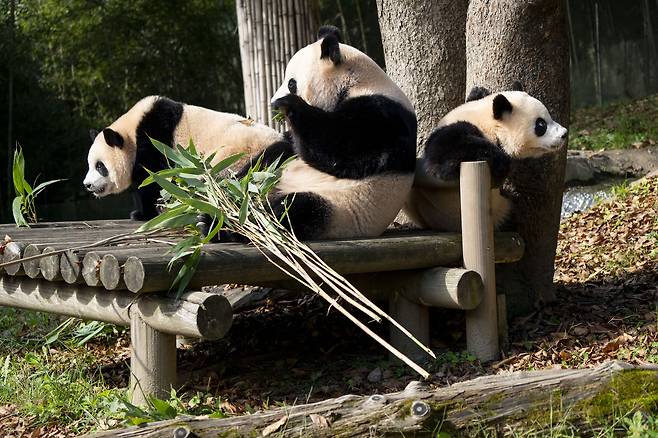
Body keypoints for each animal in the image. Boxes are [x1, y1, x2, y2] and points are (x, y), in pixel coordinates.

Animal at [82, 95, 288, 219]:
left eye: (100, 166)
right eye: (90, 165)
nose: (87, 185)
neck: (132, 131)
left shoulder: (153, 140)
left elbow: (153, 181)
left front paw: (143, 214)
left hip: (240, 159)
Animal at [256, 25, 416, 241]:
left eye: (291, 83)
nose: (273, 103)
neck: (357, 82)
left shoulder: (385, 118)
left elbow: (340, 147)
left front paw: (289, 104)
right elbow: (284, 147)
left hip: (338, 208)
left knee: (293, 209)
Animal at [402, 83, 568, 231]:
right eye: (541, 125)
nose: (564, 134)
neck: (488, 122)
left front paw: (478, 90)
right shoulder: (455, 131)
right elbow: (442, 159)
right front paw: (501, 163)